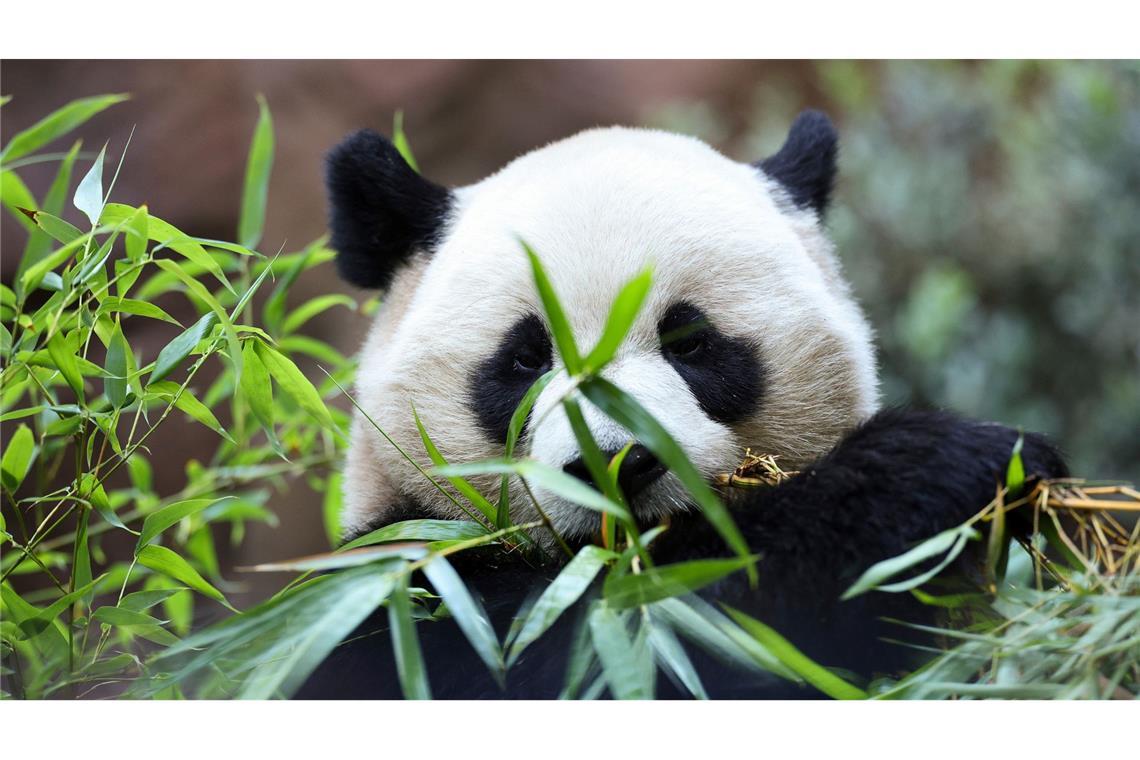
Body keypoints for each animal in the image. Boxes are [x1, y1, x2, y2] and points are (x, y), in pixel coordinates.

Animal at [296, 109, 1067, 697]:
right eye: (525, 358)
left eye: (689, 341)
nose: (614, 463)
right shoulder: (391, 592)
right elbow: (611, 638)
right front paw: (939, 469)